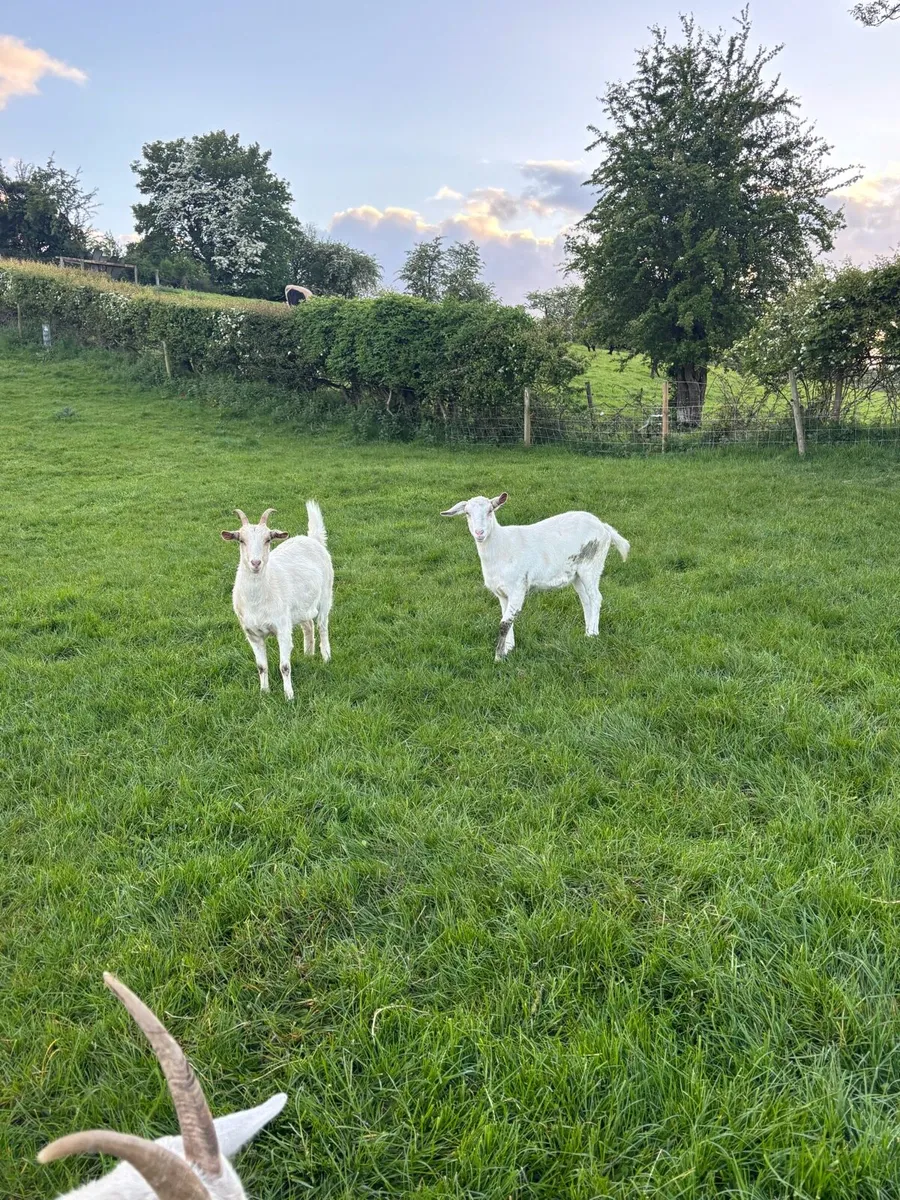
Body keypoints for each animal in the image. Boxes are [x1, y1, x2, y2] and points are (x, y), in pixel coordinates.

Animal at [221, 502, 333, 700]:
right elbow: (261, 666)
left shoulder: (282, 628)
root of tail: (313, 539)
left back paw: (326, 656)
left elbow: (285, 667)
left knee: (322, 625)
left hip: (326, 595)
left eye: (268, 539)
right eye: (241, 540)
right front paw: (264, 692)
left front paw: (289, 696)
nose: (255, 563)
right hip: (300, 608)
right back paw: (308, 655)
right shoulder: (252, 634)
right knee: (309, 626)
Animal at [440, 492, 629, 660]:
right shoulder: (501, 593)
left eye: (490, 511)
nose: (479, 533)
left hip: (592, 564)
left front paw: (499, 657)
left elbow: (504, 623)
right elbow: (506, 618)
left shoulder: (517, 587)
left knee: (596, 597)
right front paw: (509, 648)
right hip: (576, 574)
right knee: (586, 600)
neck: (501, 546)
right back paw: (588, 632)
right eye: (467, 513)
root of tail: (604, 526)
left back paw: (593, 634)